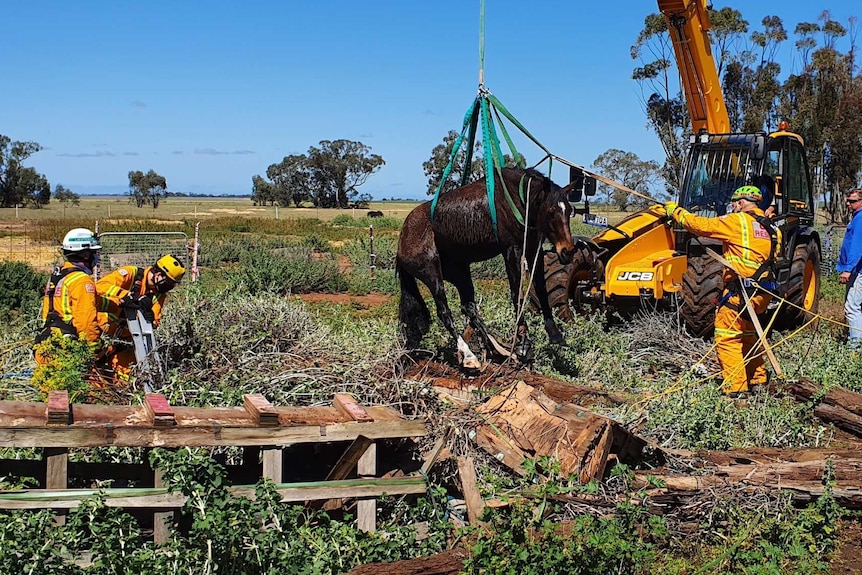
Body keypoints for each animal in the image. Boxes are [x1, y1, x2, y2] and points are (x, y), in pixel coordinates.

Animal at [396, 169, 572, 372]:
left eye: (570, 210)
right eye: (551, 211)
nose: (567, 251)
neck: (516, 198)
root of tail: (403, 237)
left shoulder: (534, 248)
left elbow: (542, 291)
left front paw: (554, 333)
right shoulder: (512, 250)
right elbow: (517, 295)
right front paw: (523, 345)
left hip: (460, 273)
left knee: (469, 308)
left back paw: (500, 351)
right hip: (432, 274)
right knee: (444, 312)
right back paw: (469, 356)